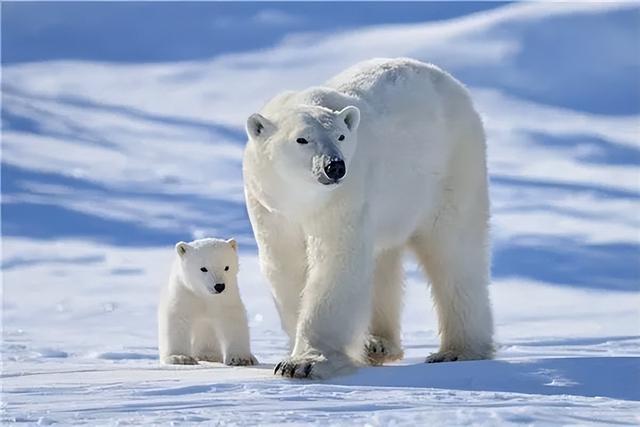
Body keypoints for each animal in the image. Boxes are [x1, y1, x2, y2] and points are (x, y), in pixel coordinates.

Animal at [244, 58, 496, 380]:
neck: (303, 198)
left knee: (454, 252)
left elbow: (336, 262)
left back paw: (457, 351)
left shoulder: (344, 197)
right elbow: (286, 265)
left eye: (340, 136)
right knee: (383, 261)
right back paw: (377, 344)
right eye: (302, 139)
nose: (334, 166)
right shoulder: (271, 208)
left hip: (452, 168)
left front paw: (305, 362)